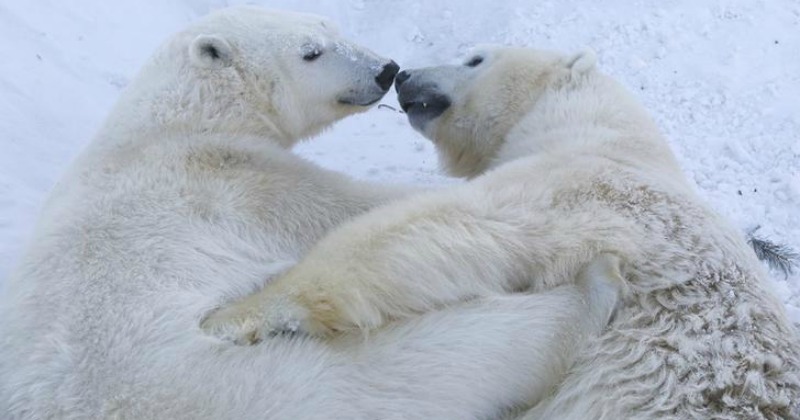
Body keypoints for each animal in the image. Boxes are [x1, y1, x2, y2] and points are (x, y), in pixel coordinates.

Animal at [0, 9, 620, 420]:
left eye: (332, 25)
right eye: (311, 52)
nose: (386, 68)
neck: (176, 120)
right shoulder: (238, 182)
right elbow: (346, 209)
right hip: (233, 385)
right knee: (430, 362)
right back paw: (590, 290)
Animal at [205, 45, 800, 416]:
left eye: (475, 57)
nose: (404, 74)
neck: (605, 132)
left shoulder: (588, 189)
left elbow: (450, 228)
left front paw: (238, 315)